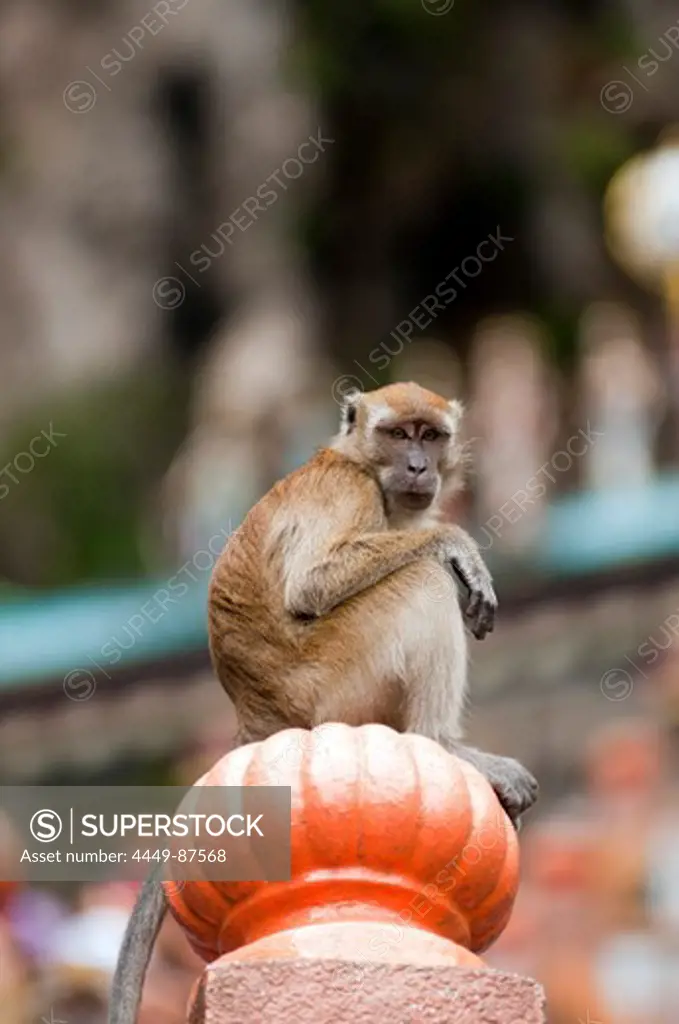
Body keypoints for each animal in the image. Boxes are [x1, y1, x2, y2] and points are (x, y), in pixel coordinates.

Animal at [110, 380, 536, 1019]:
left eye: (430, 436)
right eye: (398, 434)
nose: (419, 466)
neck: (358, 460)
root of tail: (257, 717)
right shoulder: (350, 493)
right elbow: (314, 582)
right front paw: (454, 543)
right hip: (333, 683)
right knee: (424, 582)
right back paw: (443, 742)